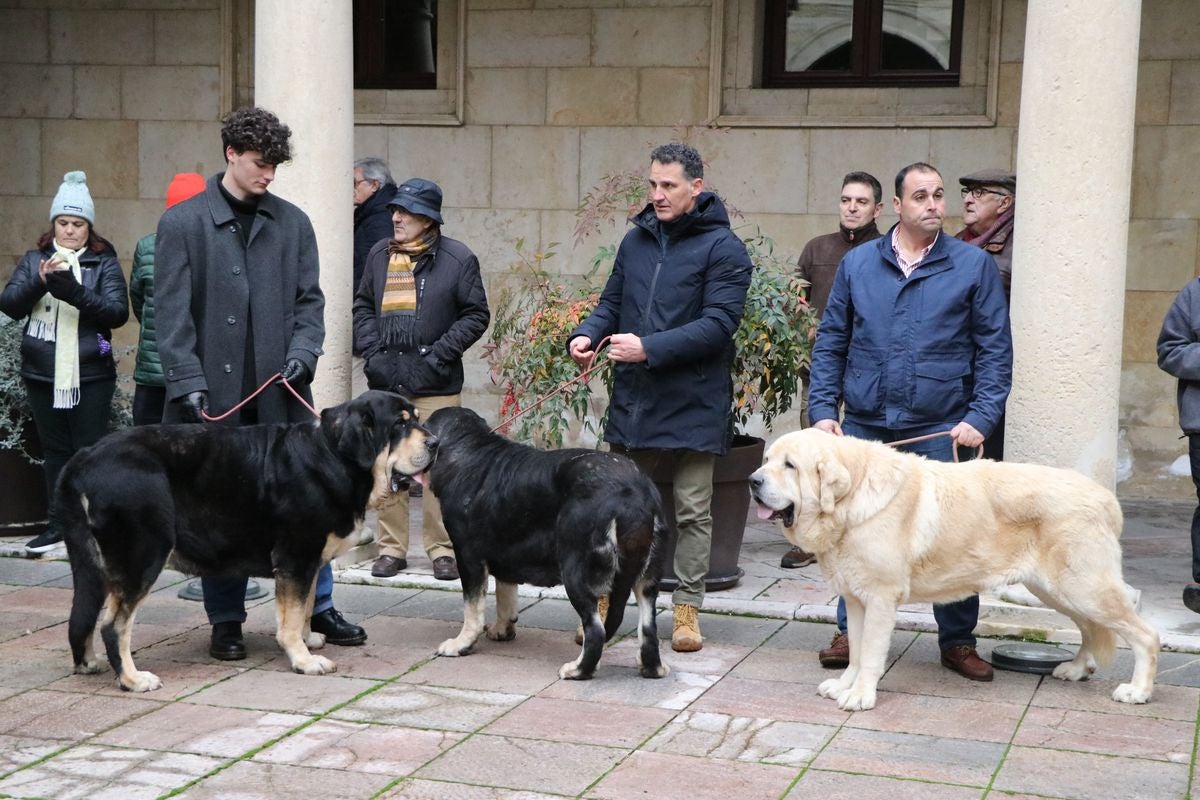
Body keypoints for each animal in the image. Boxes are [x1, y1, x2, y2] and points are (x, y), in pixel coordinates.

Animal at [59, 391, 436, 690]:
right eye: (399, 425)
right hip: (142, 556)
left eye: (416, 419)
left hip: (96, 564)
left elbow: (304, 608)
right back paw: (132, 679)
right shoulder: (296, 557)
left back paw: (89, 663)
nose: (435, 443)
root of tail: (85, 455)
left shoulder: (309, 562)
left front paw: (308, 640)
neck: (333, 456)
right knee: (113, 625)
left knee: (84, 615)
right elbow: (292, 615)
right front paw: (303, 659)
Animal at [422, 407, 672, 681]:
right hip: (647, 578)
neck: (473, 448)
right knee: (648, 627)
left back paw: (578, 670)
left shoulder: (468, 556)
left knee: (596, 629)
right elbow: (505, 594)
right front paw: (502, 629)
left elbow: (472, 608)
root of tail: (632, 492)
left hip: (576, 571)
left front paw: (461, 644)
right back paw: (652, 668)